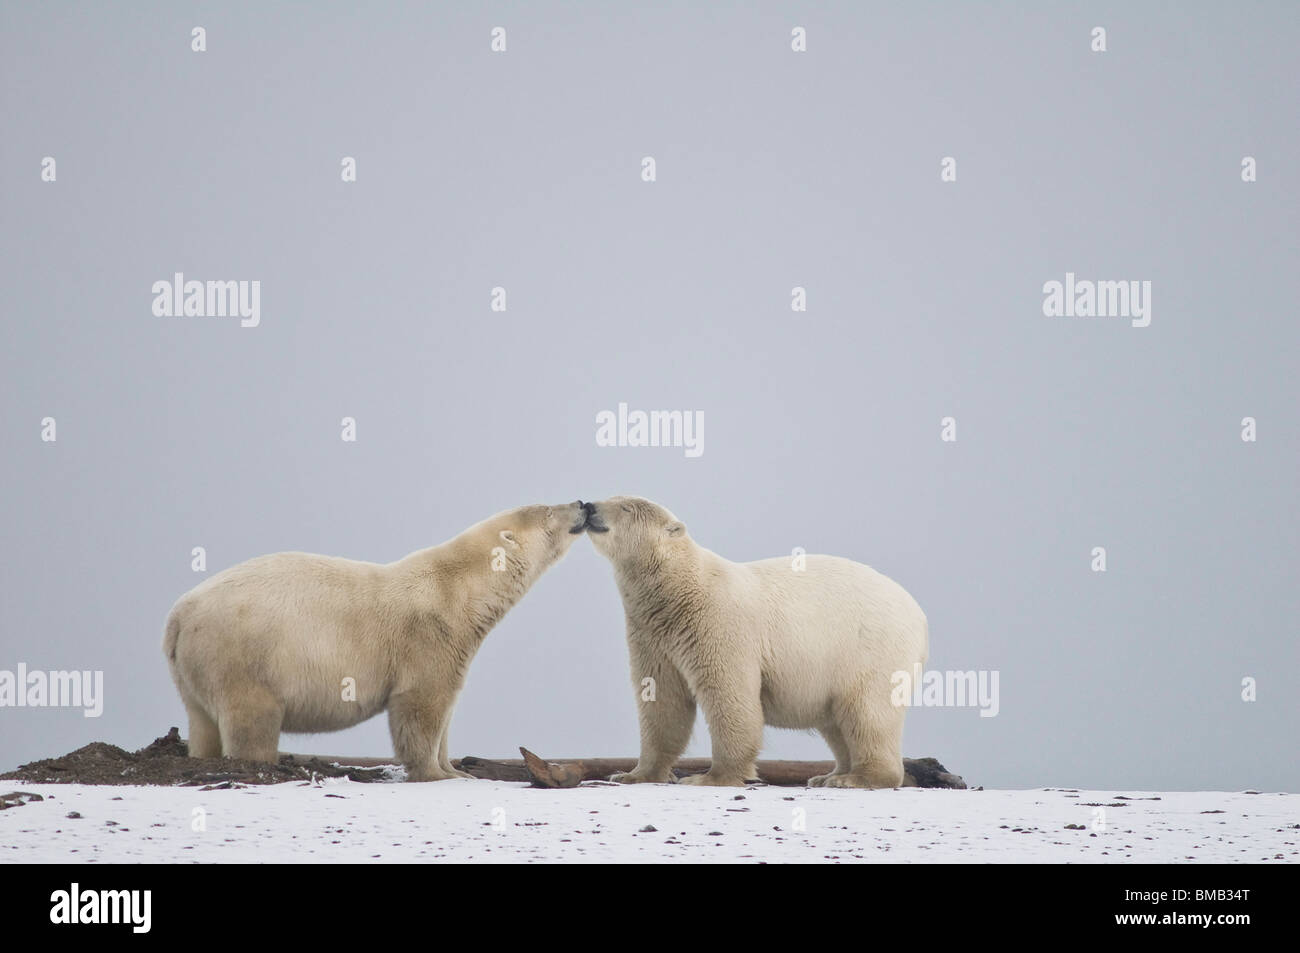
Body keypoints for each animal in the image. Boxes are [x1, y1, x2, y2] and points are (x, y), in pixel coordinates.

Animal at [163, 501, 590, 774]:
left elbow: (446, 710)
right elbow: (420, 706)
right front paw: (437, 774)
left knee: (202, 720)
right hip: (242, 655)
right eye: (548, 509)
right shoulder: (428, 635)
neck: (459, 591)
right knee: (252, 718)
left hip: (193, 667)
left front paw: (457, 770)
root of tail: (178, 615)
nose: (583, 503)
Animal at [585, 494, 930, 785]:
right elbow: (661, 697)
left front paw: (711, 777)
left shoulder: (717, 623)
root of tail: (920, 617)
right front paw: (632, 774)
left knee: (866, 711)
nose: (589, 506)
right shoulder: (653, 635)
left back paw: (857, 778)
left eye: (625, 506)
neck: (678, 590)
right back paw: (829, 775)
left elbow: (729, 693)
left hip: (870, 648)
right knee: (837, 721)